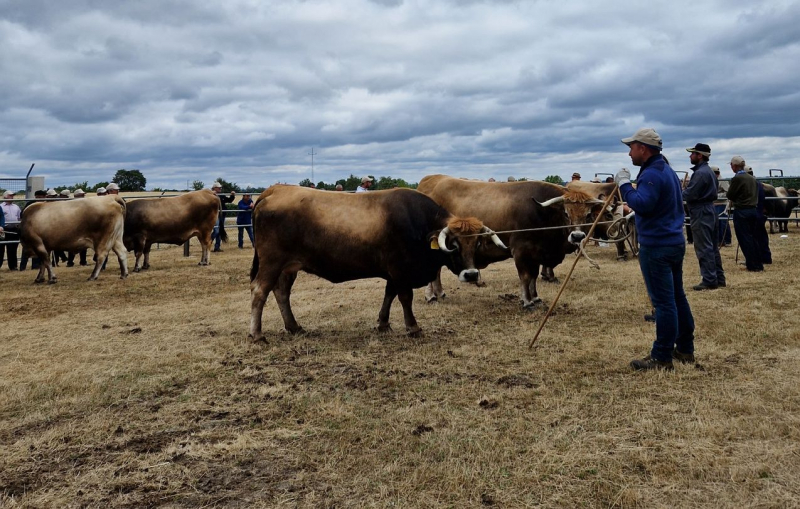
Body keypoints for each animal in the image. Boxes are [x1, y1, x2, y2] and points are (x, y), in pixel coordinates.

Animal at [247, 184, 504, 342]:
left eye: (477, 243)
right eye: (454, 244)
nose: (471, 274)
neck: (418, 223)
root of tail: (276, 189)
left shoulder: (392, 273)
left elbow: (389, 295)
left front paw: (383, 324)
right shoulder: (401, 270)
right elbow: (405, 298)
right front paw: (413, 327)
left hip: (288, 267)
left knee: (281, 292)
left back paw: (293, 326)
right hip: (272, 263)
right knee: (260, 291)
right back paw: (257, 334)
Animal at [416, 175, 604, 310]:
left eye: (588, 214)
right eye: (566, 212)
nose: (577, 236)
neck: (542, 214)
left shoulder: (536, 254)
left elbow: (534, 276)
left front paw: (535, 297)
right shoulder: (521, 251)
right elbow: (526, 276)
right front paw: (527, 301)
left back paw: (439, 293)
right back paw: (431, 296)